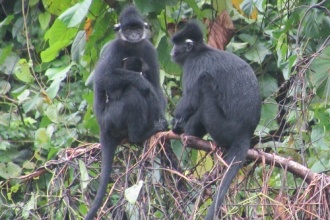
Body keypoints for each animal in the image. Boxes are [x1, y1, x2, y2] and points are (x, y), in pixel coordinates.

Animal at [85, 5, 168, 220]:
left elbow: (155, 85)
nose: (134, 34)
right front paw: (140, 81)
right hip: (113, 117)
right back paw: (140, 134)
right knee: (132, 92)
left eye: (137, 28)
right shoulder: (114, 48)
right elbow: (103, 78)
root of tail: (103, 126)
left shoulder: (148, 49)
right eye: (129, 28)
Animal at [170, 21, 260, 220]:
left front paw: (175, 122)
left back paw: (188, 132)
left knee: (204, 84)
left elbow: (191, 99)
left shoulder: (194, 66)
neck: (199, 51)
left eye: (176, 44)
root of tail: (246, 131)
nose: (172, 52)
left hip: (222, 127)